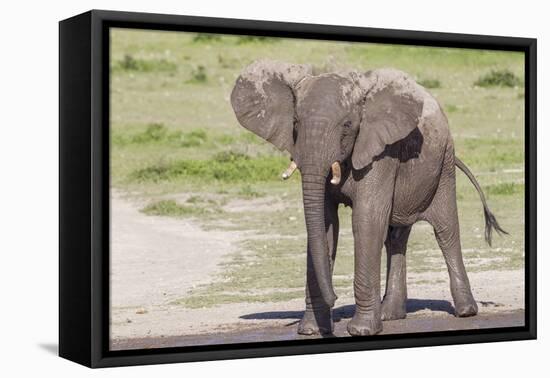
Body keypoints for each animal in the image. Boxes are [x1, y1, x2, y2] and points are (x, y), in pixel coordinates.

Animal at [230, 59, 508, 336]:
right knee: (396, 237)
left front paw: (361, 330)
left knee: (446, 230)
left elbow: (366, 221)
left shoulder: (381, 151)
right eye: (295, 123)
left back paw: (465, 311)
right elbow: (325, 224)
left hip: (444, 164)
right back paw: (390, 315)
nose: (335, 298)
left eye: (347, 125)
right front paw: (311, 330)